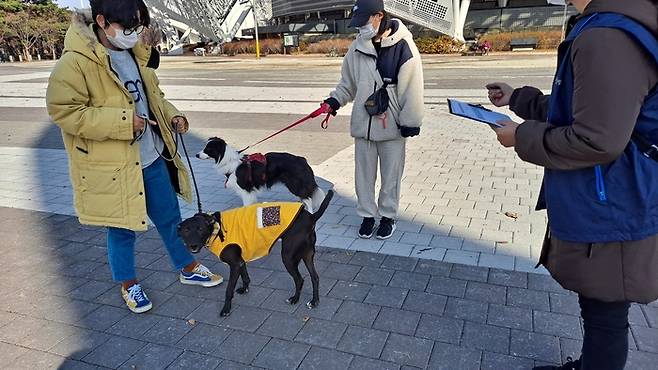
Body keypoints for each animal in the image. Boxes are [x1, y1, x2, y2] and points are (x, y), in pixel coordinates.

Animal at [177, 191, 330, 316]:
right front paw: (245, 289)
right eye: (186, 231)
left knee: (299, 279)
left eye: (201, 229)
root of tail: (311, 217)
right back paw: (314, 301)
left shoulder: (235, 265)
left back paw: (295, 299)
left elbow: (229, 290)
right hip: (307, 255)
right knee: (315, 277)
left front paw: (226, 309)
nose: (193, 245)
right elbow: (245, 276)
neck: (216, 228)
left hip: (288, 257)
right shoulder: (240, 261)